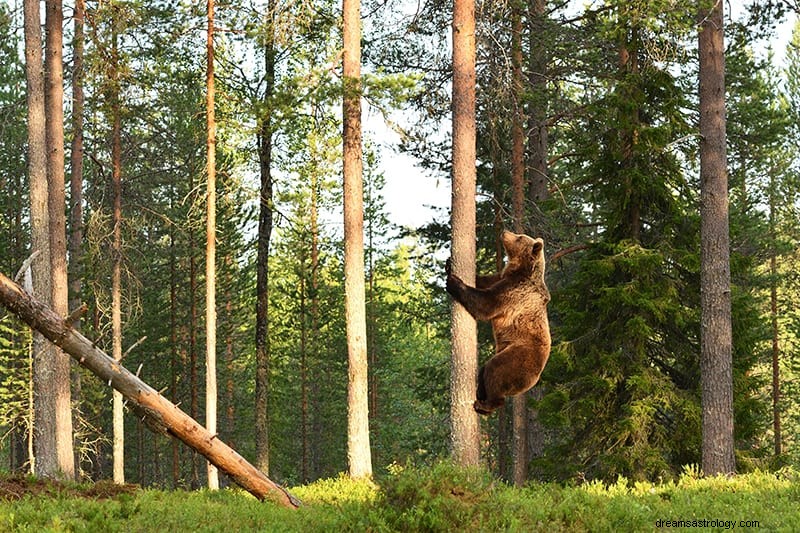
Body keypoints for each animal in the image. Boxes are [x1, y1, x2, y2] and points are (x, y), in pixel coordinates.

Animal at [444, 231, 552, 414]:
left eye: (520, 236)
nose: (505, 232)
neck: (520, 270)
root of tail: (533, 382)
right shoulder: (502, 278)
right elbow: (484, 281)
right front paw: (449, 264)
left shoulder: (515, 292)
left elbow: (486, 303)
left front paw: (454, 281)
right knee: (484, 370)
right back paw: (481, 392)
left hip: (519, 355)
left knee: (496, 370)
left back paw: (485, 404)